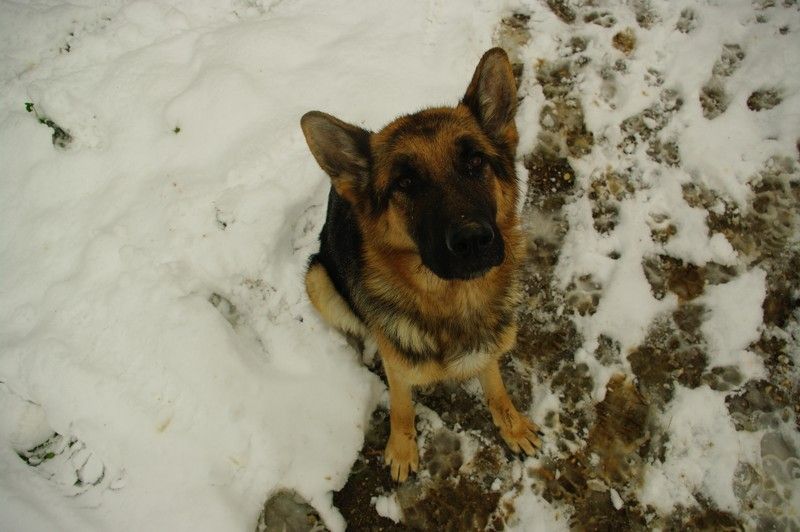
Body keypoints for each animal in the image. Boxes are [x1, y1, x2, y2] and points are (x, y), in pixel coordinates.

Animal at [301, 48, 540, 482]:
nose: (472, 240)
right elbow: (402, 407)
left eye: (475, 161)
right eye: (405, 183)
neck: (454, 302)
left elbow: (495, 385)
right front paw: (402, 449)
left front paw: (511, 425)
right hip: (318, 279)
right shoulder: (398, 370)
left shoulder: (489, 348)